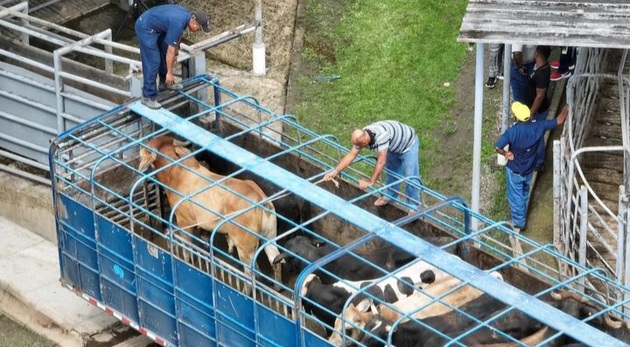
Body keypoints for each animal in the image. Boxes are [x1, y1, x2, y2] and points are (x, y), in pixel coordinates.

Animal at [141, 136, 284, 294]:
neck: (177, 174)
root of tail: (261, 201)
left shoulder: (185, 223)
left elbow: (187, 248)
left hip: (245, 248)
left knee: (250, 274)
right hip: (269, 237)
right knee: (275, 260)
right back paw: (277, 288)